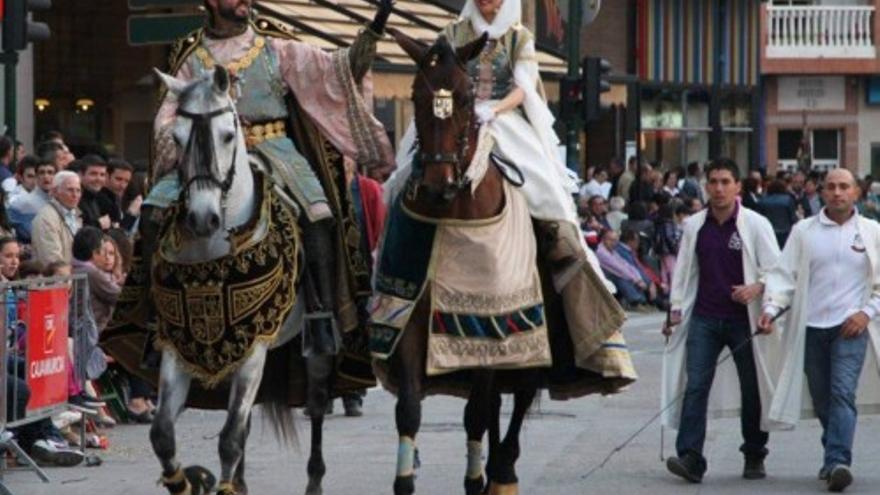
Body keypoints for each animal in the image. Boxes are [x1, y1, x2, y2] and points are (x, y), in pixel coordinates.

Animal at [151, 66, 334, 495]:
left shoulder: (254, 348)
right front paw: (187, 482)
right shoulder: (178, 349)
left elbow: (230, 437)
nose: (202, 218)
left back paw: (314, 479)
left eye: (227, 135)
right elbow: (163, 434)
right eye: (176, 138)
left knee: (317, 403)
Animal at [388, 30, 540, 495]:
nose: (437, 185)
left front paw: (478, 478)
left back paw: (503, 471)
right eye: (415, 95)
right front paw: (404, 480)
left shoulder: (492, 324)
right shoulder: (413, 319)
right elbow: (410, 409)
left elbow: (476, 413)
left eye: (467, 95)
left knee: (520, 391)